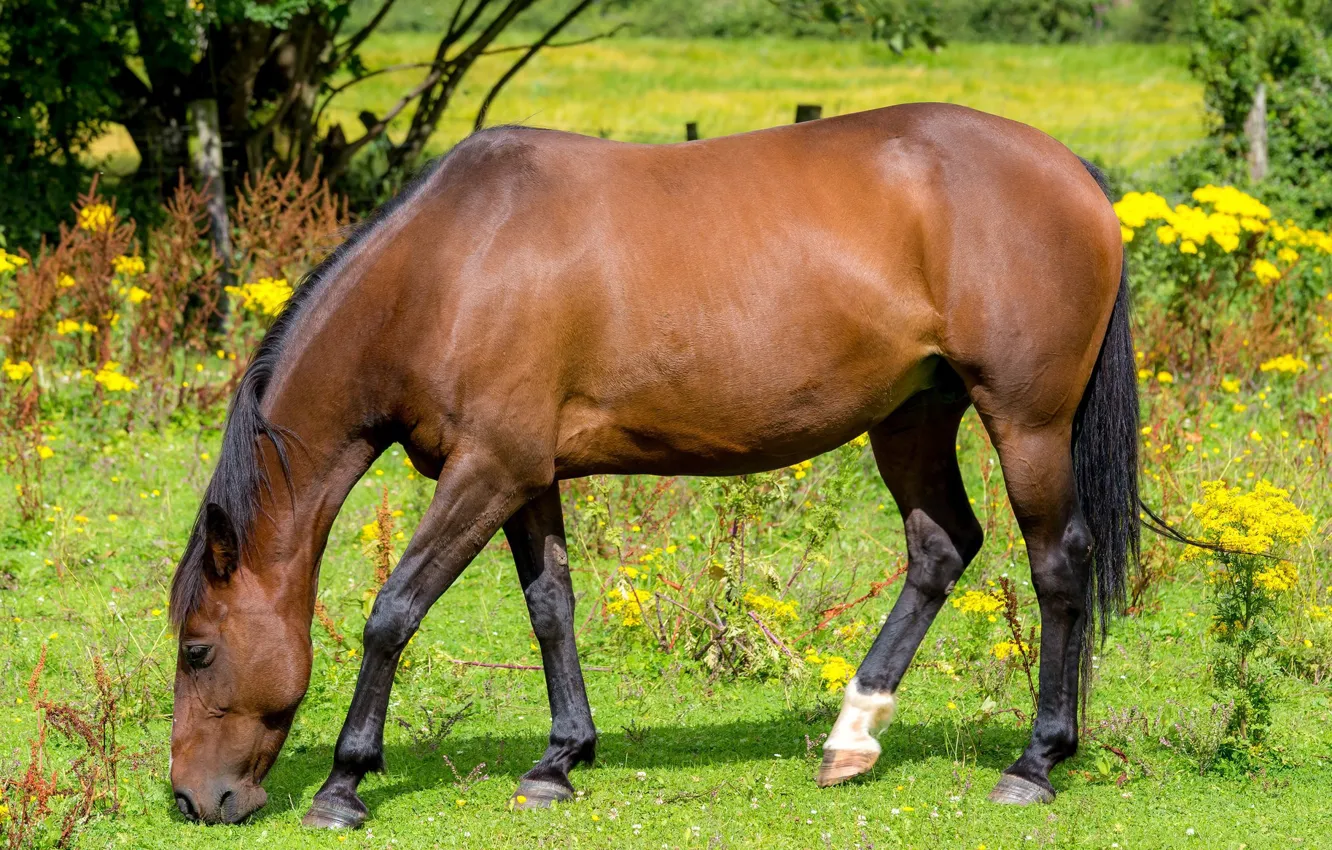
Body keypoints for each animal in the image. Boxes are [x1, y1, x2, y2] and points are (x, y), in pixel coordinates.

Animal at [167, 102, 1138, 827]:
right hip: (912, 417)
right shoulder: (526, 476)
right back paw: (852, 736)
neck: (447, 268)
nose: (191, 800)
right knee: (941, 549)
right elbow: (550, 608)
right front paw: (559, 759)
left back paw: (1036, 761)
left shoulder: (487, 471)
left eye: (199, 650)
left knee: (1057, 565)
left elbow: (393, 611)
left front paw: (344, 783)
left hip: (1028, 424)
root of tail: (1072, 172)